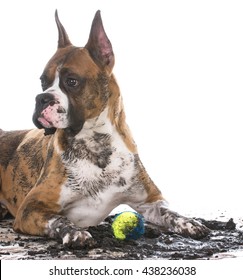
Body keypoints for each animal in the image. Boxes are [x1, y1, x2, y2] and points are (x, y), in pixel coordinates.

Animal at [0, 10, 209, 247]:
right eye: (43, 82)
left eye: (71, 81)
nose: (42, 98)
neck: (96, 141)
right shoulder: (31, 208)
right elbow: (58, 219)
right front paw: (75, 233)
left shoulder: (150, 200)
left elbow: (170, 212)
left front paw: (189, 223)